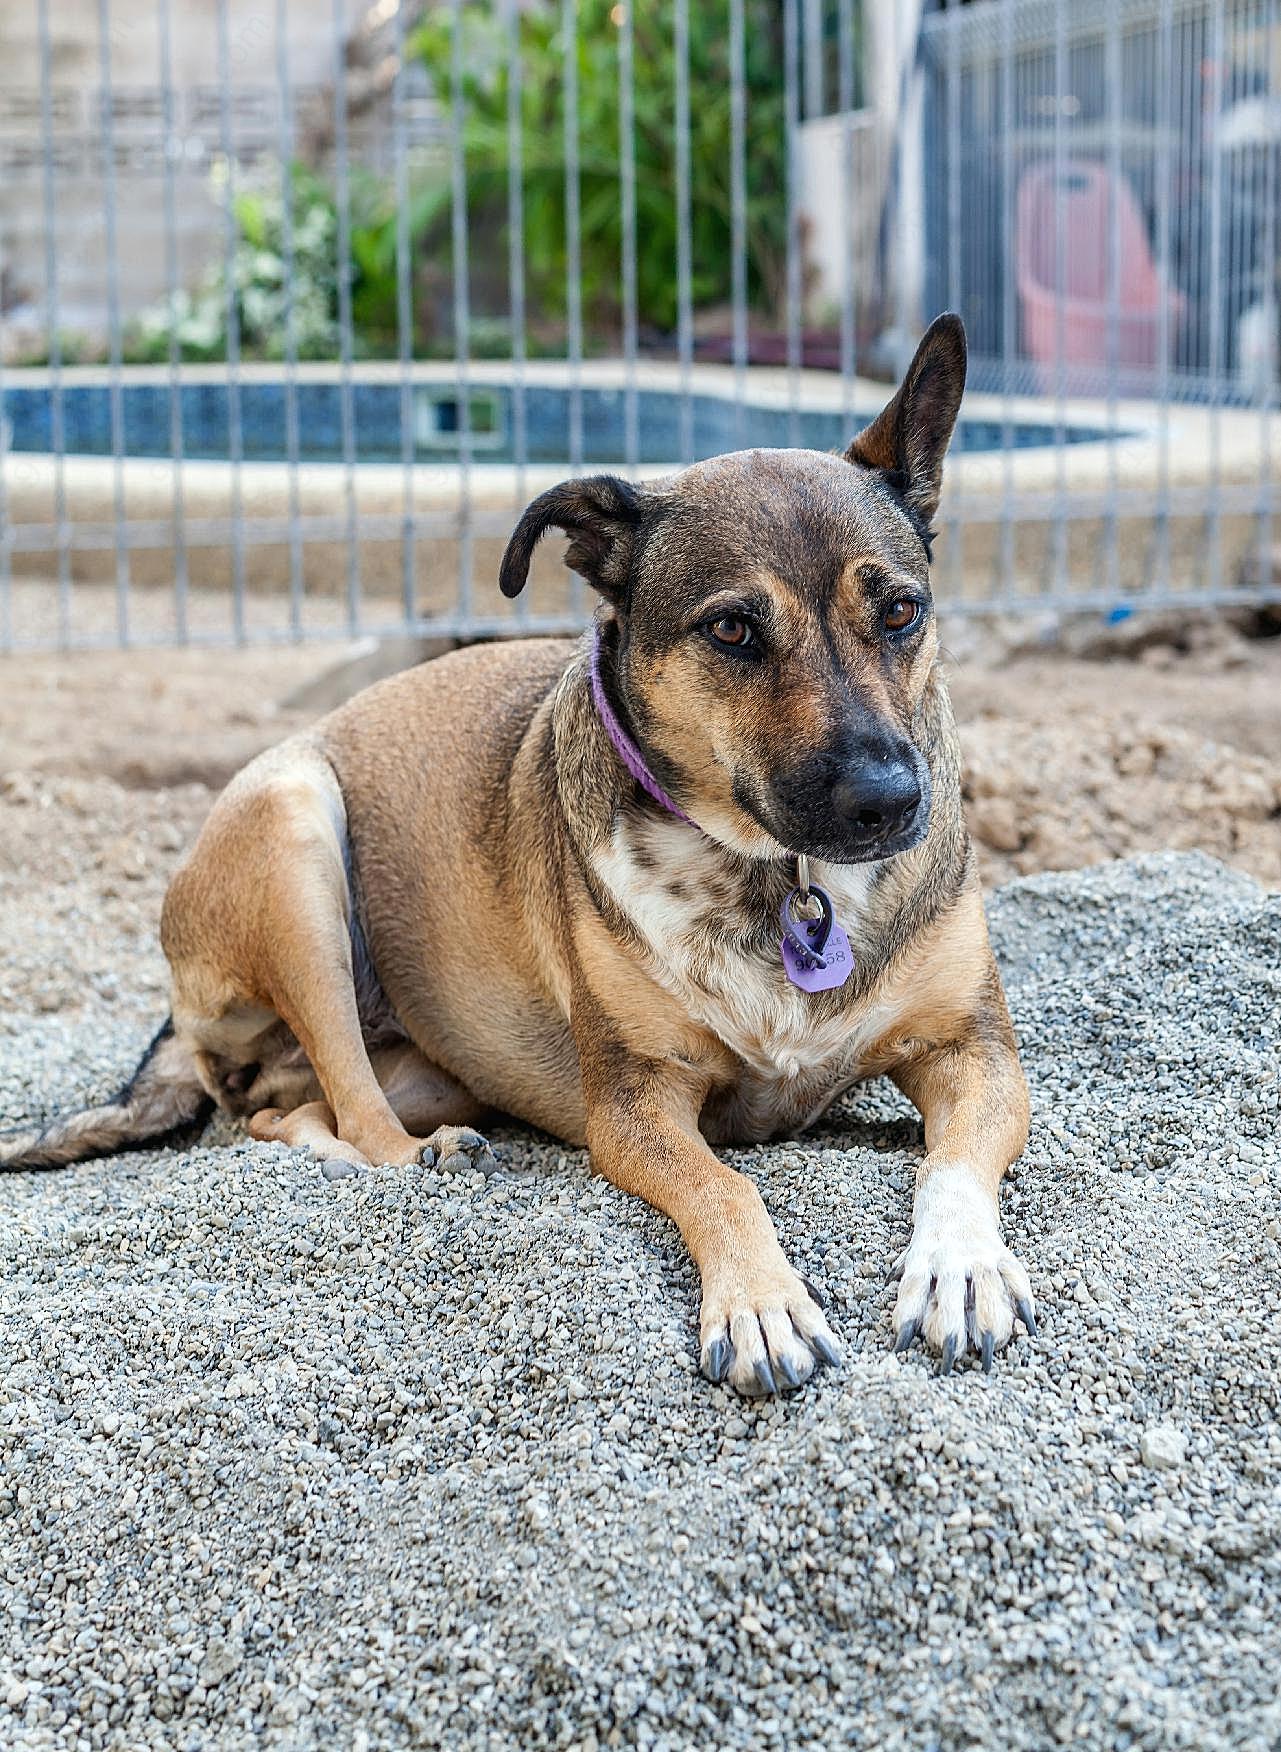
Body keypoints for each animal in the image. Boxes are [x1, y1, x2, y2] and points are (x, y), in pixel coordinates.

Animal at [2, 318, 1044, 1394]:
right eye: (731, 629)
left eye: (900, 612)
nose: (888, 802)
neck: (780, 877)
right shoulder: (631, 1104)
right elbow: (726, 1187)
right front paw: (761, 1306)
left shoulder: (976, 1053)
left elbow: (950, 1162)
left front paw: (961, 1269)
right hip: (294, 831)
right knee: (351, 1110)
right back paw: (419, 1156)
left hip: (432, 1061)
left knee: (279, 1115)